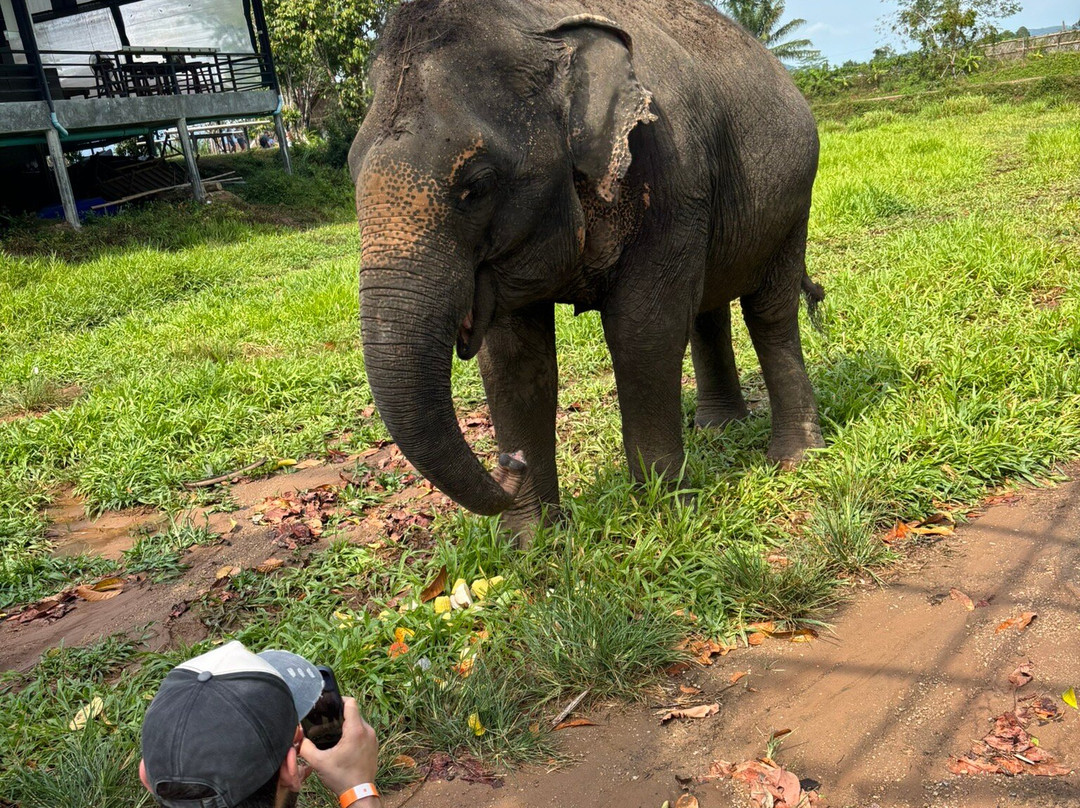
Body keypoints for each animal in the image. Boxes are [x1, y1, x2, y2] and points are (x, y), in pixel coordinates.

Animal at [349, 0, 825, 538]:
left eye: (478, 185)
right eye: (350, 172)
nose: (509, 461)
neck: (536, 26)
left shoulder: (671, 174)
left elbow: (643, 331)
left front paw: (665, 520)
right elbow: (515, 360)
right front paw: (532, 543)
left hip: (794, 201)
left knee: (769, 312)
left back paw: (795, 459)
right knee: (708, 308)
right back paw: (718, 429)